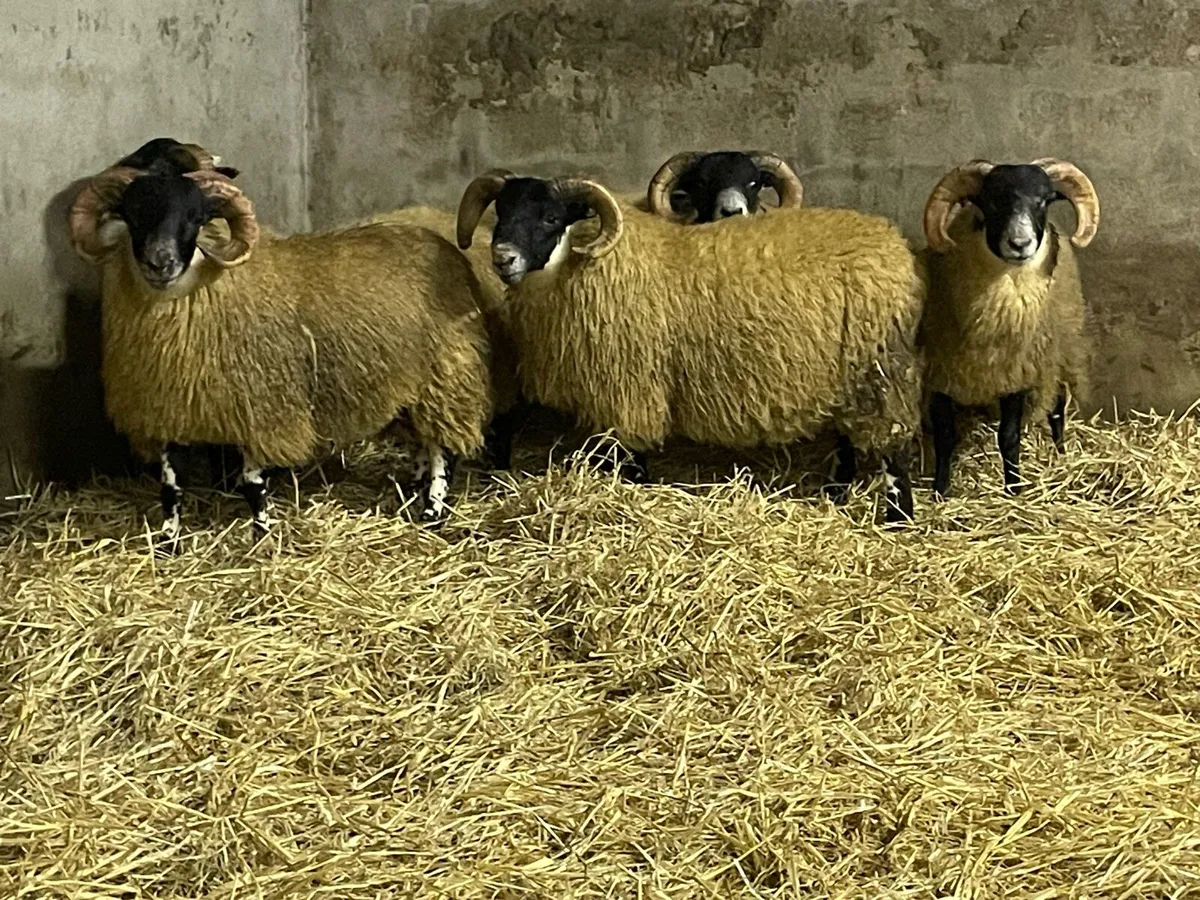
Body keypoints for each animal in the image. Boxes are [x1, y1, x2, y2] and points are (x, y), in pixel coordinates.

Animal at [67, 164, 494, 542]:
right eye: (133, 213)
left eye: (196, 217)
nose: (160, 262)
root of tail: (443, 245)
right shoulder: (167, 412)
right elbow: (170, 489)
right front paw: (168, 541)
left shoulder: (260, 409)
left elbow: (252, 485)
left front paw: (262, 534)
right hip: (410, 388)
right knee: (424, 441)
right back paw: (414, 489)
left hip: (446, 375)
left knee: (444, 450)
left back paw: (432, 511)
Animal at [456, 171, 927, 522]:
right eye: (502, 211)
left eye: (551, 217)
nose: (502, 258)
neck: (587, 261)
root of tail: (892, 242)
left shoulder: (630, 389)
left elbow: (630, 457)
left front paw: (633, 495)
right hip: (849, 374)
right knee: (849, 436)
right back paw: (836, 492)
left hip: (879, 367)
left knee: (894, 446)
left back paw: (898, 516)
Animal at [920, 158, 1099, 498]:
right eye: (992, 201)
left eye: (1043, 200)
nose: (1020, 244)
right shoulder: (939, 375)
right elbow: (945, 437)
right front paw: (940, 490)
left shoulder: (1016, 374)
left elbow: (1008, 437)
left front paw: (1014, 488)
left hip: (1057, 354)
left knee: (1057, 407)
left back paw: (1060, 455)